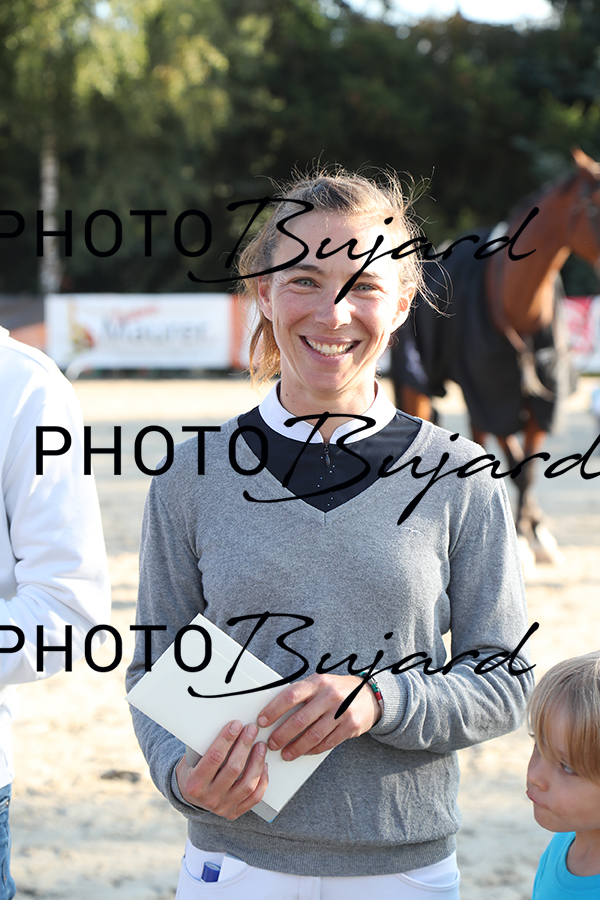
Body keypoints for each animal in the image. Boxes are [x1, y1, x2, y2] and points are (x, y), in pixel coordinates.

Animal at [391, 148, 600, 566]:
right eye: (595, 207)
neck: (519, 304)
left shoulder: (540, 402)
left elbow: (530, 466)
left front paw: (536, 533)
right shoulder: (494, 395)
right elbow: (515, 463)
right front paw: (523, 537)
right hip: (421, 384)